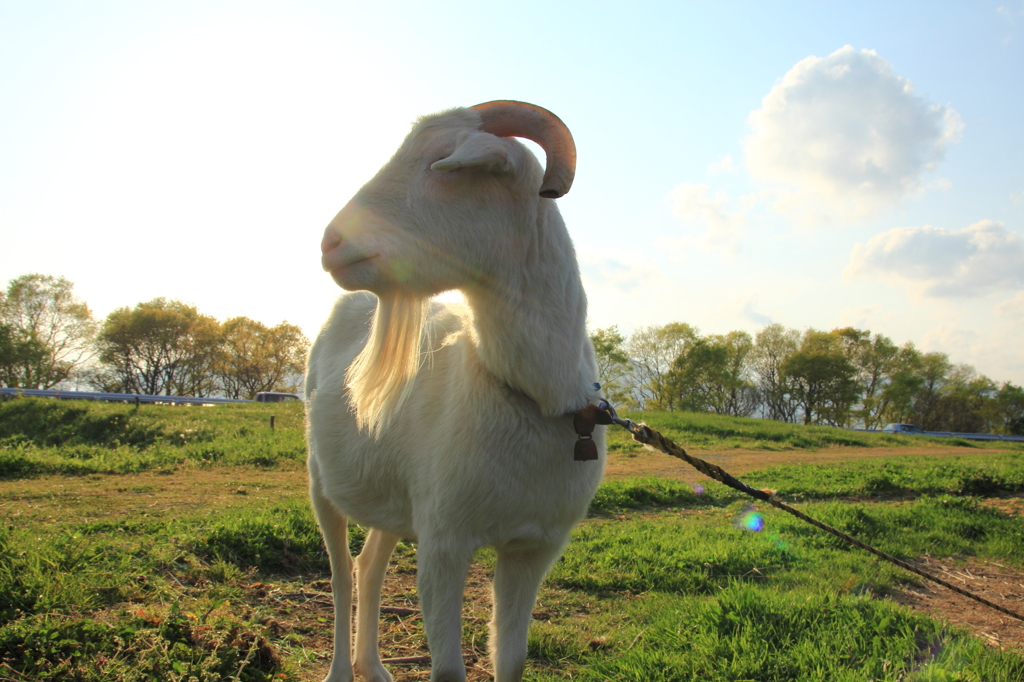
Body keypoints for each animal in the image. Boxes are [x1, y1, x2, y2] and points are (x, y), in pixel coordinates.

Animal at [303, 100, 606, 679]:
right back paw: (340, 669)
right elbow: (447, 669)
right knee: (341, 573)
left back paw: (374, 666)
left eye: (442, 161)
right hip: (320, 480)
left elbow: (512, 658)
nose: (331, 243)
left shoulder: (533, 547)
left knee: (369, 566)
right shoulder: (444, 542)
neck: (533, 396)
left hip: (396, 497)